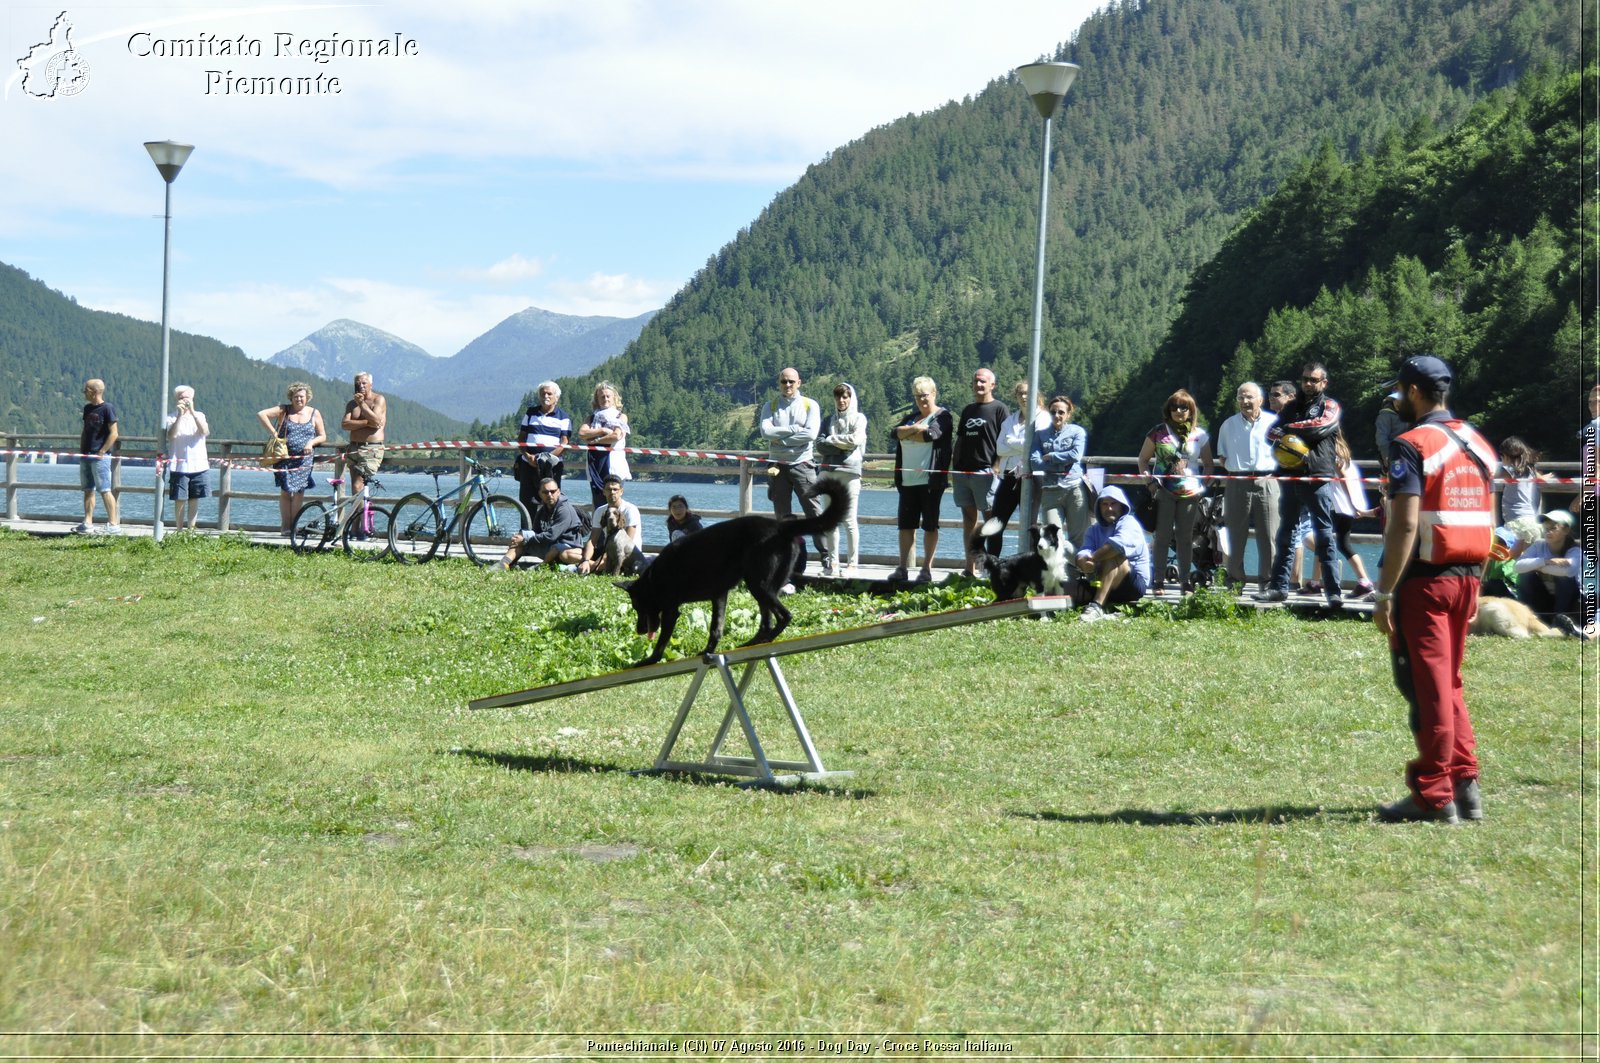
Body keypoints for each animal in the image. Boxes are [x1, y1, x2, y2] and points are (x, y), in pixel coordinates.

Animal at [611, 480, 851, 665]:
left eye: (638, 607)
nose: (639, 630)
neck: (655, 579)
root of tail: (781, 527)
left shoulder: (671, 611)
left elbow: (662, 642)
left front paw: (650, 660)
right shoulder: (719, 596)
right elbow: (716, 629)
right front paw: (707, 652)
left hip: (758, 585)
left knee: (784, 616)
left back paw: (766, 640)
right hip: (764, 587)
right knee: (767, 622)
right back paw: (752, 643)